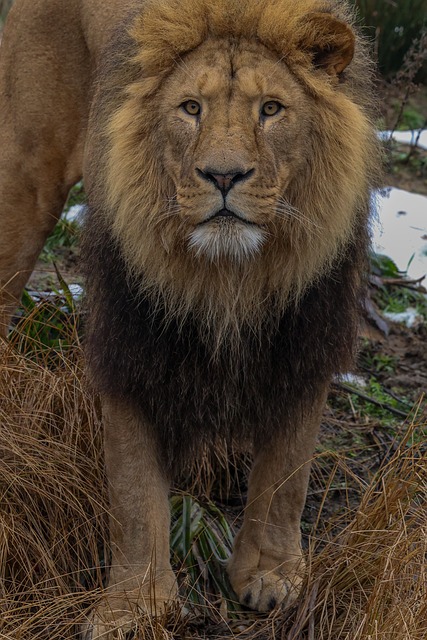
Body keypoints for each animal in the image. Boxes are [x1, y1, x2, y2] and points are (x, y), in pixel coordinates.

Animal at [0, 0, 380, 636]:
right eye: (190, 108)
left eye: (271, 109)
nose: (223, 176)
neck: (227, 276)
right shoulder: (131, 345)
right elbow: (134, 490)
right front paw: (135, 606)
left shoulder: (303, 344)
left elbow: (286, 475)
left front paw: (270, 576)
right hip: (24, 181)